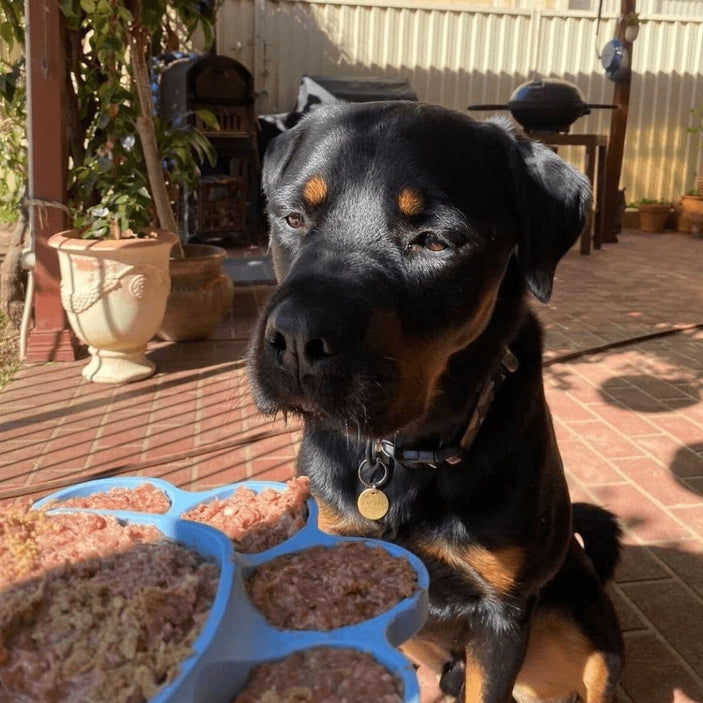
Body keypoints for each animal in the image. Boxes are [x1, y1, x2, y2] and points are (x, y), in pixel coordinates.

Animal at [246, 100, 620, 703]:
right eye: (293, 218)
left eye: (435, 241)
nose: (297, 340)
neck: (405, 454)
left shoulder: (502, 613)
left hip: (591, 637)